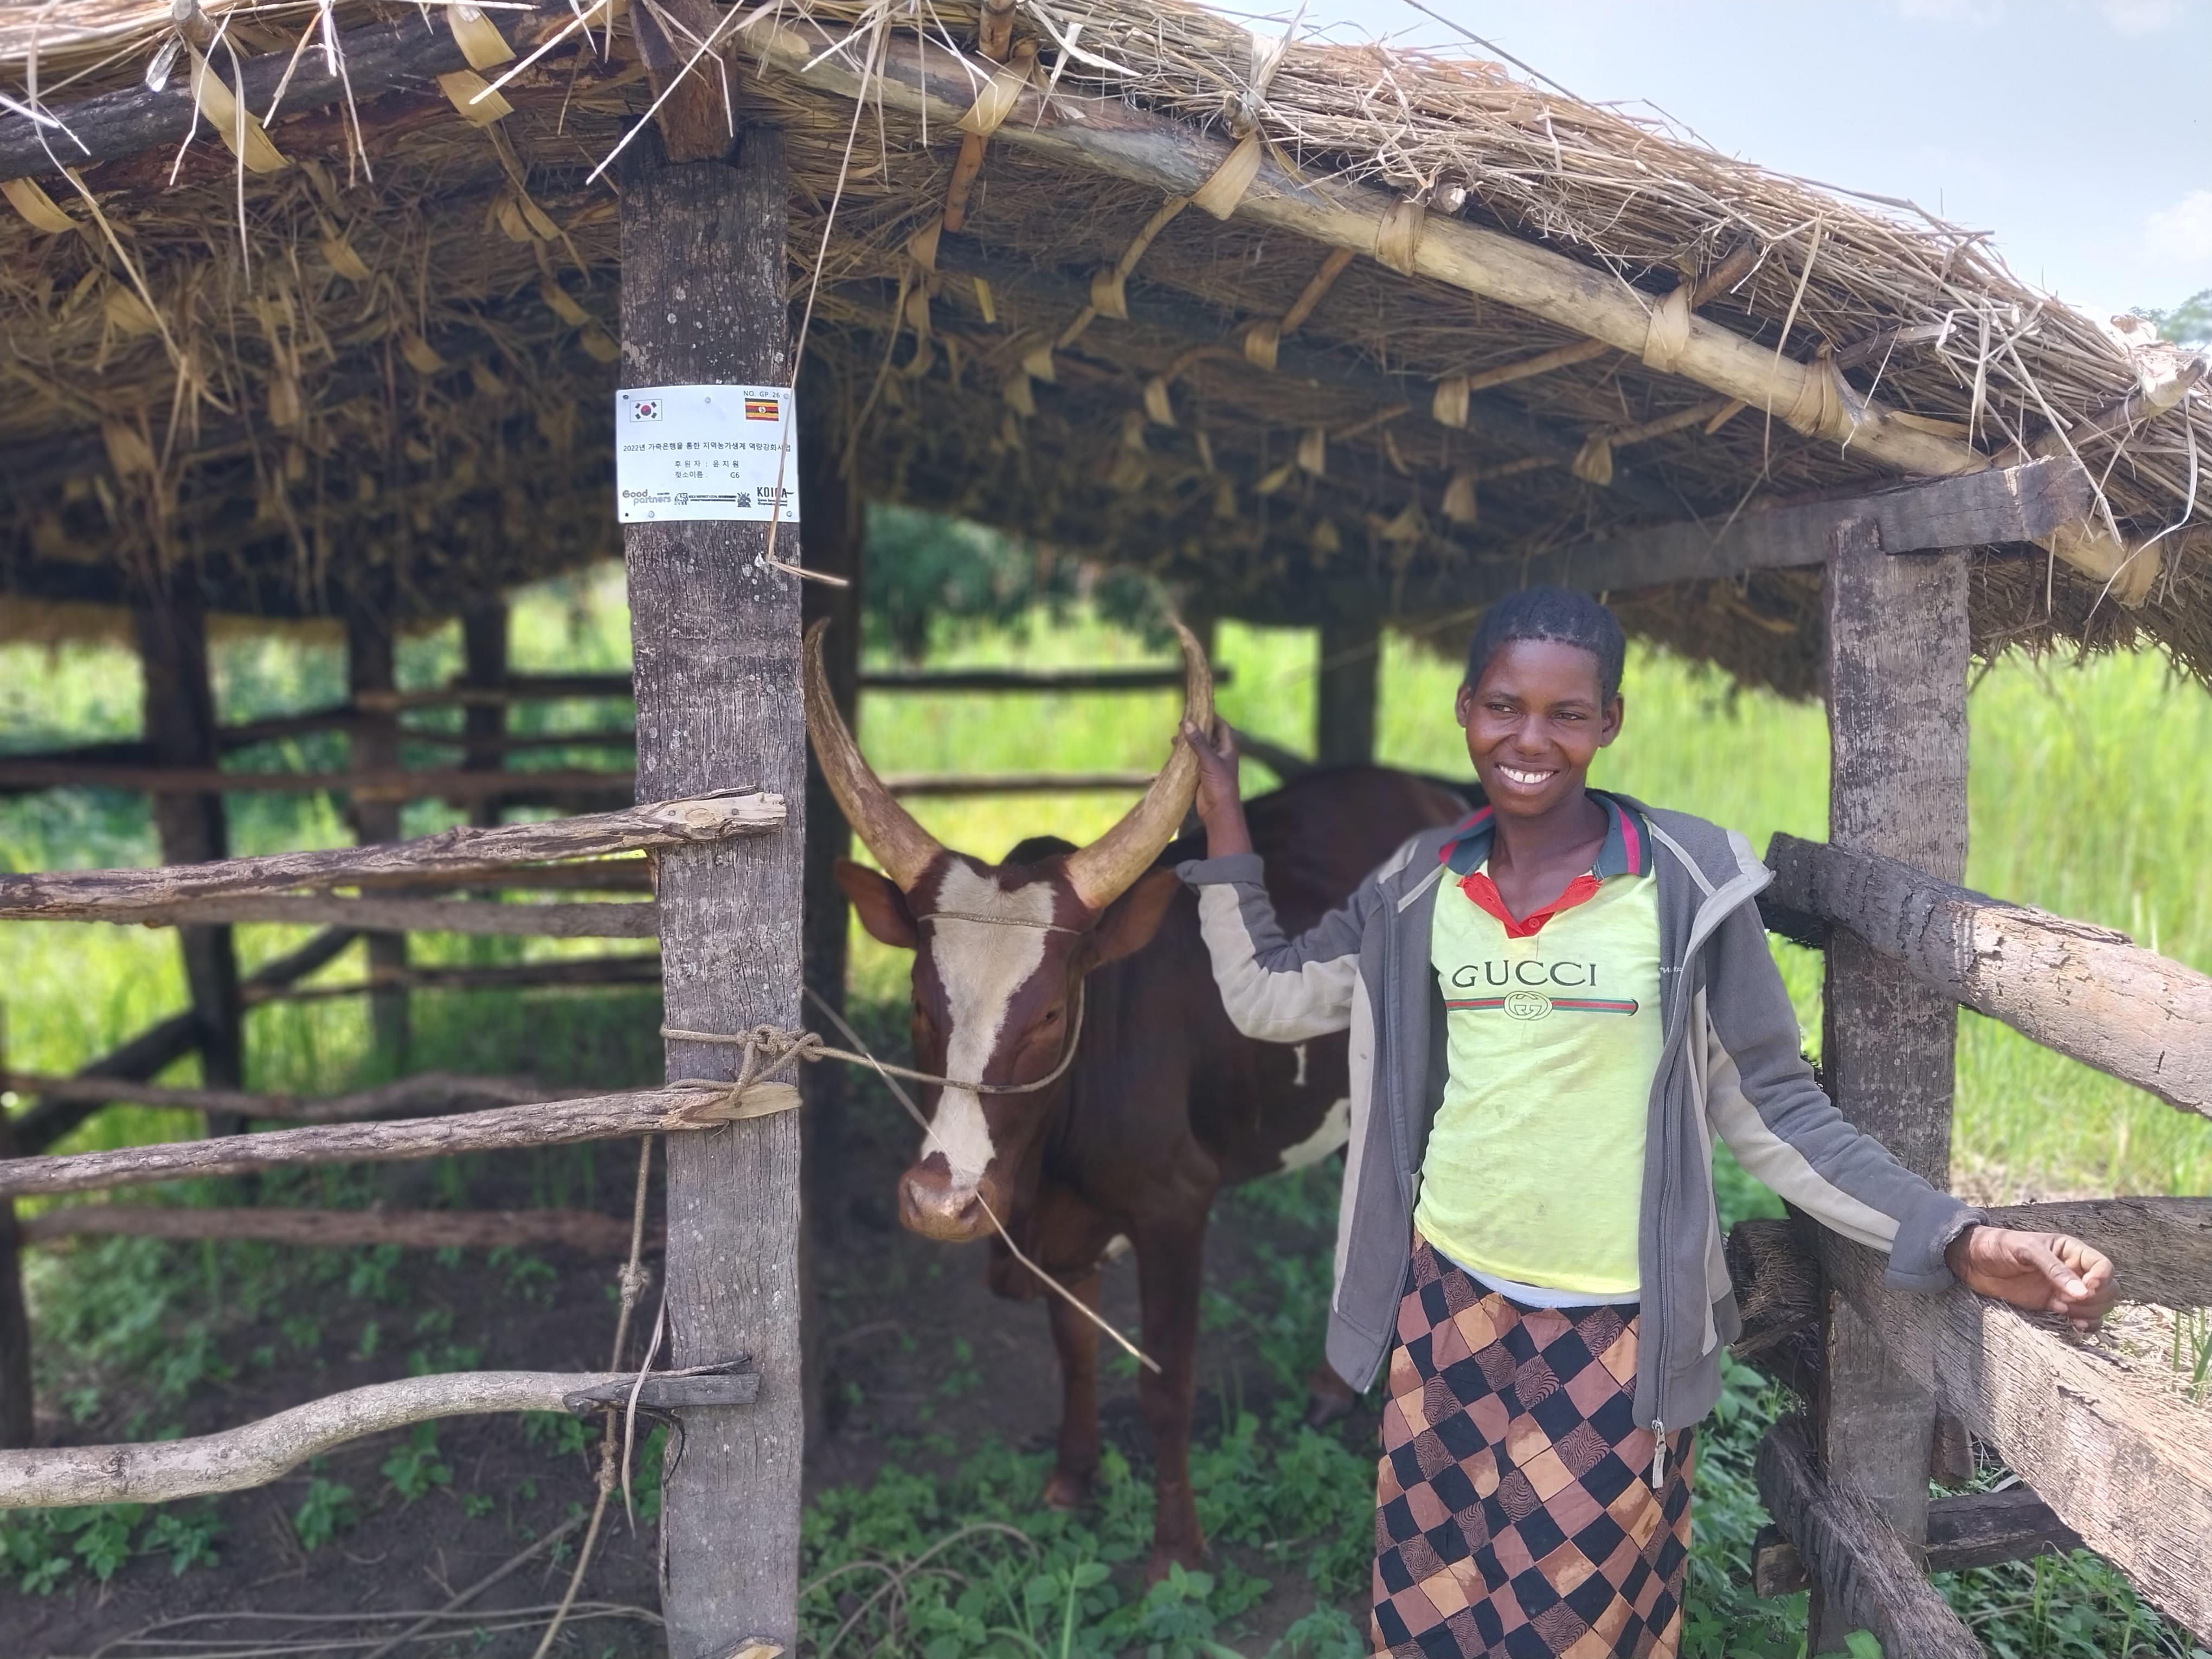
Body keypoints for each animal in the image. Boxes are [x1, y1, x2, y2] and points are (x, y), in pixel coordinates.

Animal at [803, 620, 1467, 1578]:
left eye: (1048, 1012)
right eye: (925, 1004)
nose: (941, 1201)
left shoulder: (1176, 1205)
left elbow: (1164, 1383)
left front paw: (1176, 1553)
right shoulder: (1059, 1232)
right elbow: (1075, 1351)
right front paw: (1070, 1482)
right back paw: (1328, 1387)